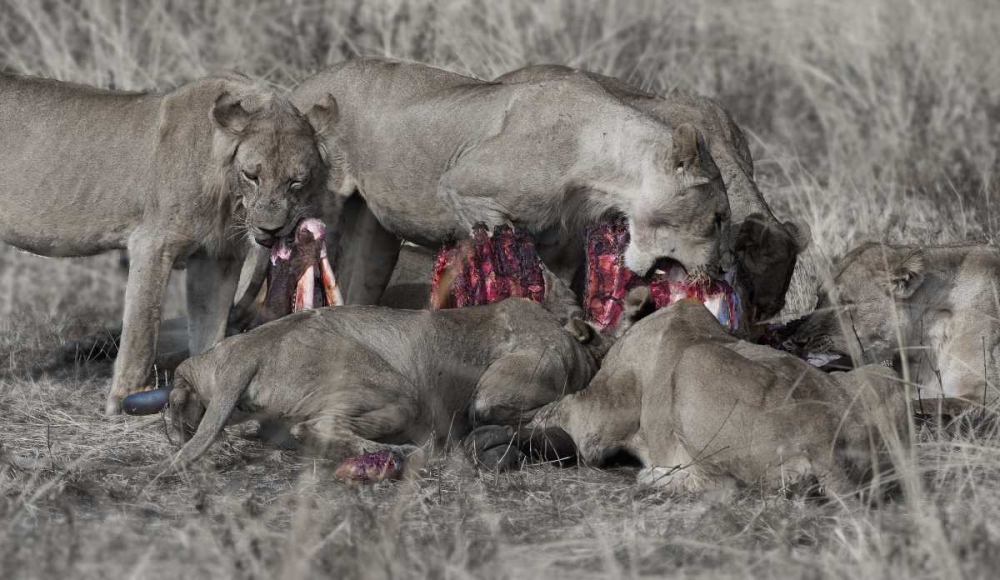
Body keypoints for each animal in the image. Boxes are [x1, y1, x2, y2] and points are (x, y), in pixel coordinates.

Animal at [0, 71, 336, 414]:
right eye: (251, 175)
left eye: (296, 181)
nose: (271, 229)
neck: (228, 194)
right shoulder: (152, 243)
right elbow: (142, 327)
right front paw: (127, 399)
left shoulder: (218, 256)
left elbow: (211, 327)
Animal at [289, 57, 732, 306]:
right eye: (718, 218)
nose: (718, 271)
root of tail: (302, 84)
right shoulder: (462, 185)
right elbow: (526, 264)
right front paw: (565, 312)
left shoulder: (560, 241)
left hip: (373, 232)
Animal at [469, 293, 912, 497]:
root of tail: (826, 439)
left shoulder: (595, 416)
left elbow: (555, 416)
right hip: (881, 376)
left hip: (695, 362)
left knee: (724, 487)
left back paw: (654, 476)